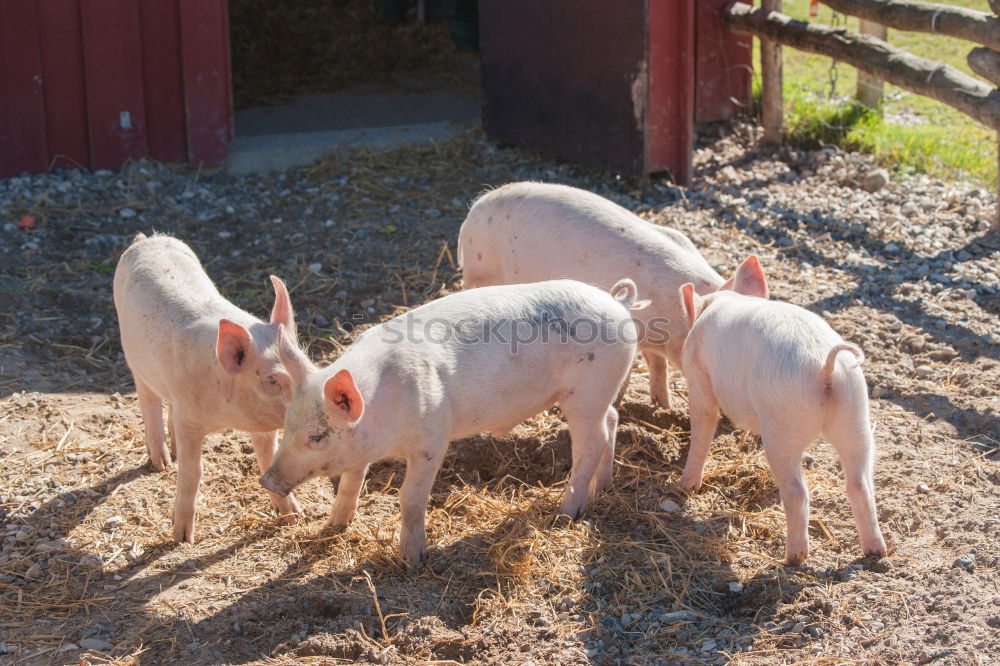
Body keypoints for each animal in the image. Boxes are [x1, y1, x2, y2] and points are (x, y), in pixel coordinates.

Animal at [114, 232, 302, 540]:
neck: (228, 417)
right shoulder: (190, 419)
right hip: (135, 361)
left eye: (307, 363)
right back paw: (162, 463)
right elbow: (193, 472)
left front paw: (295, 516)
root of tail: (146, 239)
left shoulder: (262, 424)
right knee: (149, 401)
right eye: (272, 380)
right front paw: (182, 538)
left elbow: (267, 460)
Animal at [260, 278, 640, 564]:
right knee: (611, 419)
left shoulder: (432, 438)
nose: (267, 481)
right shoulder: (359, 450)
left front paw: (411, 560)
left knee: (590, 443)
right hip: (599, 393)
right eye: (288, 423)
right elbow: (350, 483)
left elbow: (410, 497)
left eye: (316, 436)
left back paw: (565, 514)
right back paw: (601, 488)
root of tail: (616, 301)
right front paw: (333, 527)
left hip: (587, 391)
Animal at [676, 256, 888, 564]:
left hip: (783, 424)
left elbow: (703, 423)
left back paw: (793, 558)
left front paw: (685, 486)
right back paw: (876, 551)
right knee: (860, 483)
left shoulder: (699, 376)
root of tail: (825, 366)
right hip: (855, 412)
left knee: (797, 491)